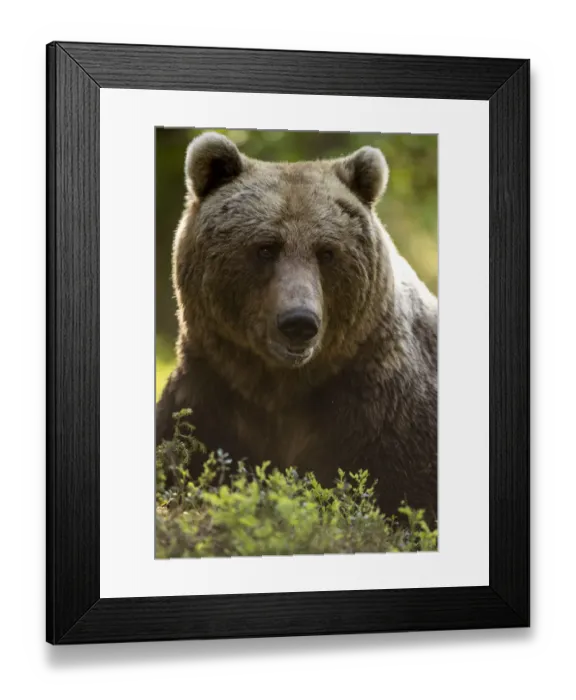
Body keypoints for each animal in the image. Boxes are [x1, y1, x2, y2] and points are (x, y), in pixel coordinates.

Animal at [156, 132, 438, 523]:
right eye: (265, 248)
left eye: (327, 252)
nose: (299, 322)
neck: (282, 387)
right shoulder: (211, 394)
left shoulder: (384, 411)